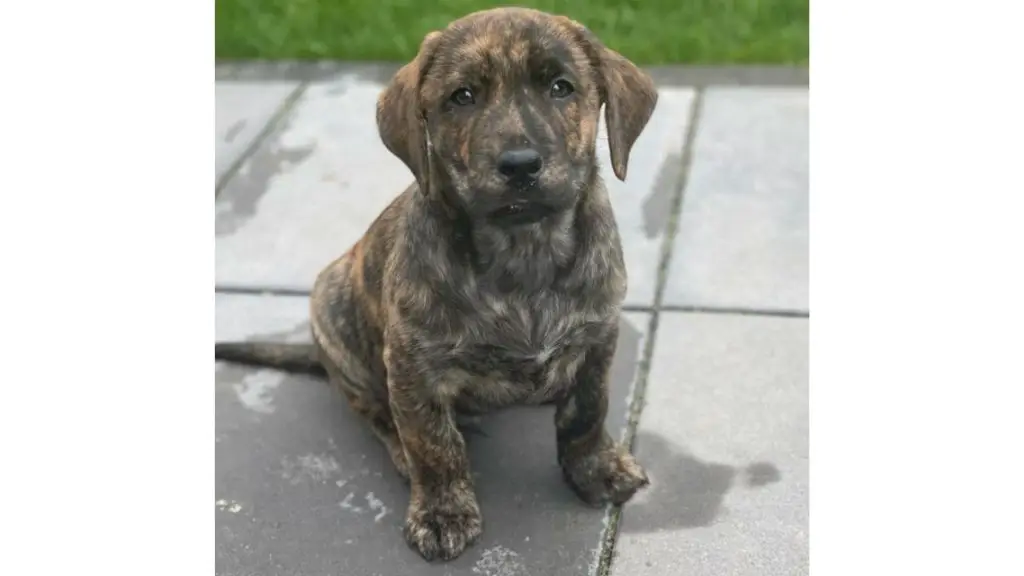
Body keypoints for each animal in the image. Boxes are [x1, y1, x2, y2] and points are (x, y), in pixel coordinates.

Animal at [220, 5, 659, 561]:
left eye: (561, 87)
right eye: (462, 97)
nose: (519, 165)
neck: (523, 249)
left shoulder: (598, 339)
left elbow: (586, 412)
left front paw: (595, 467)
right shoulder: (414, 367)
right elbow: (434, 445)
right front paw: (442, 511)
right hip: (331, 306)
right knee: (375, 411)